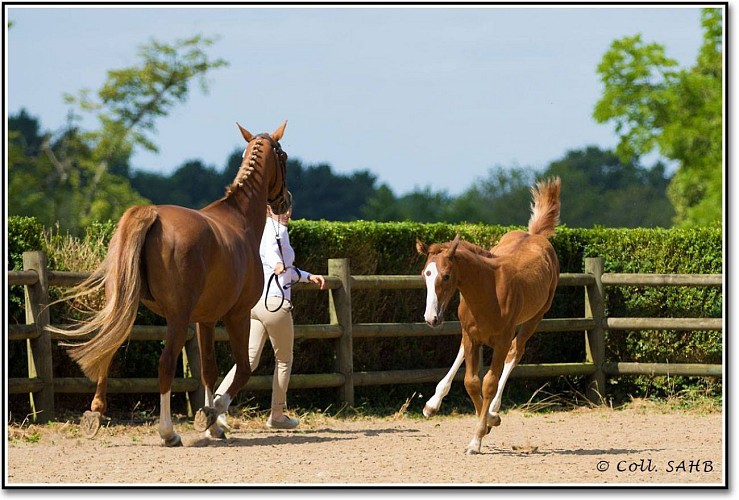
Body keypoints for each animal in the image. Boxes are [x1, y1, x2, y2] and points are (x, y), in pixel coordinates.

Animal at [51, 121, 292, 447]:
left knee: (107, 350)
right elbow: (242, 370)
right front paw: (211, 414)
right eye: (284, 157)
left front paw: (214, 425)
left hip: (127, 306)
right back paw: (168, 432)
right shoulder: (237, 316)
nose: (285, 201)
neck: (238, 221)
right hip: (177, 318)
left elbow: (208, 370)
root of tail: (152, 214)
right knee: (165, 364)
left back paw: (96, 414)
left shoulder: (206, 319)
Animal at [416, 177, 560, 455]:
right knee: (463, 352)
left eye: (446, 276)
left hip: (535, 317)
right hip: (473, 334)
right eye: (424, 274)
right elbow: (472, 382)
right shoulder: (472, 336)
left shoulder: (501, 340)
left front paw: (480, 434)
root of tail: (534, 235)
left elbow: (489, 383)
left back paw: (493, 408)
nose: (431, 318)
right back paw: (434, 403)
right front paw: (485, 424)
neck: (488, 291)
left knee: (516, 352)